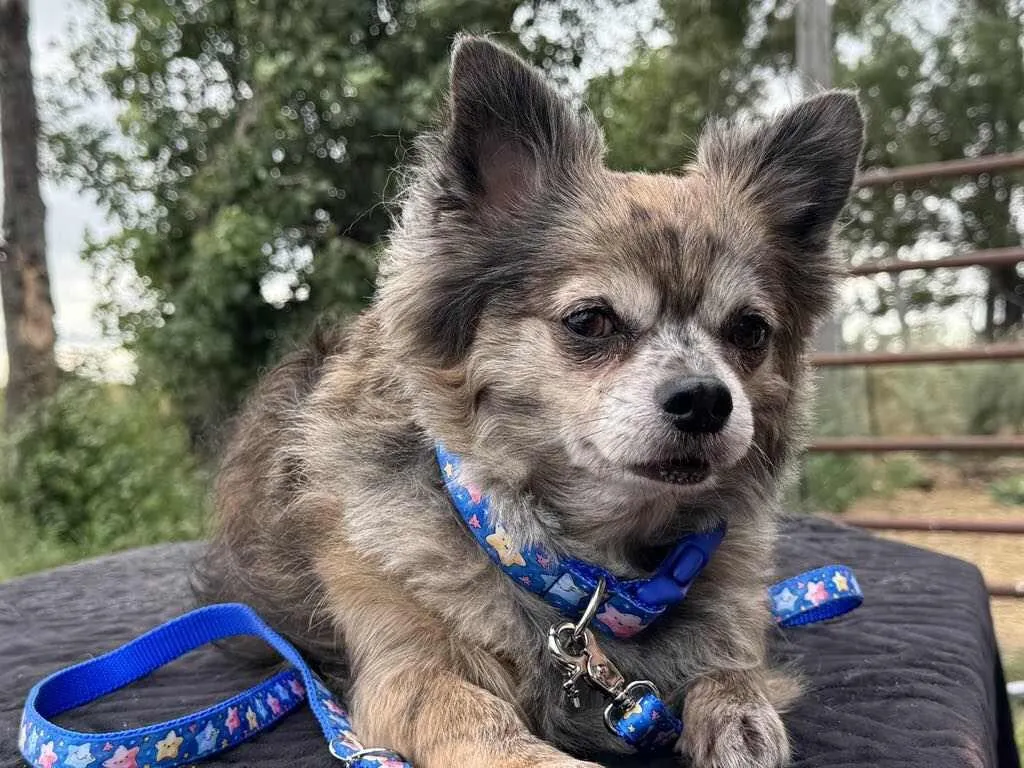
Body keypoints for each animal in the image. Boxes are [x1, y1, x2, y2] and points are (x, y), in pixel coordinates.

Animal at [193, 34, 864, 768]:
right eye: (591, 321)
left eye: (750, 332)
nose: (705, 399)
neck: (589, 576)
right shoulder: (404, 673)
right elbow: (471, 715)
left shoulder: (729, 625)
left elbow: (732, 665)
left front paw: (739, 710)